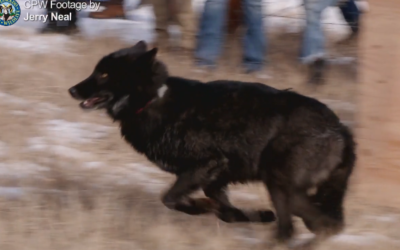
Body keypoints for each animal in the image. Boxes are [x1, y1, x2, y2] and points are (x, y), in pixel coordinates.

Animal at [68, 41, 356, 242]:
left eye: (104, 75)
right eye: (96, 71)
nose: (72, 90)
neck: (152, 100)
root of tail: (340, 128)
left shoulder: (204, 166)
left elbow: (170, 199)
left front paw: (200, 207)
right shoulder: (214, 180)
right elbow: (227, 213)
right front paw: (256, 215)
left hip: (281, 186)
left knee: (315, 227)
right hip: (285, 190)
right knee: (310, 227)